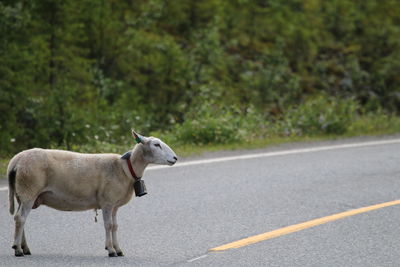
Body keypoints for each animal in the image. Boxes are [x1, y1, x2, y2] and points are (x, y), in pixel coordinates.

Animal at [6, 130, 177, 258]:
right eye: (156, 144)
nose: (175, 158)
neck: (125, 168)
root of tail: (16, 160)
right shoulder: (107, 202)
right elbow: (108, 225)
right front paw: (111, 250)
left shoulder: (114, 205)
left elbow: (115, 226)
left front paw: (118, 249)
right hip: (29, 189)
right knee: (20, 218)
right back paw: (18, 249)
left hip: (22, 193)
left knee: (22, 219)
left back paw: (24, 248)